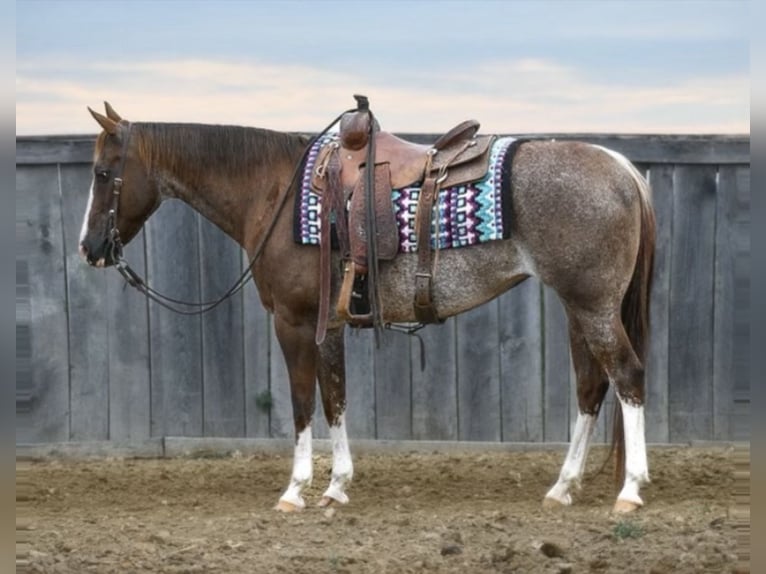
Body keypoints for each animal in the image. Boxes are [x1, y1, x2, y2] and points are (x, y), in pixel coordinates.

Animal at [79, 102, 655, 514]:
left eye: (104, 174)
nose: (89, 248)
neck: (275, 191)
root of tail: (623, 169)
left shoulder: (292, 321)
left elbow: (302, 403)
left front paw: (295, 490)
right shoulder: (328, 323)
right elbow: (335, 398)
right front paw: (336, 486)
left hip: (593, 306)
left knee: (627, 375)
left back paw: (630, 489)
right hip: (578, 307)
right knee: (591, 386)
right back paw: (563, 486)